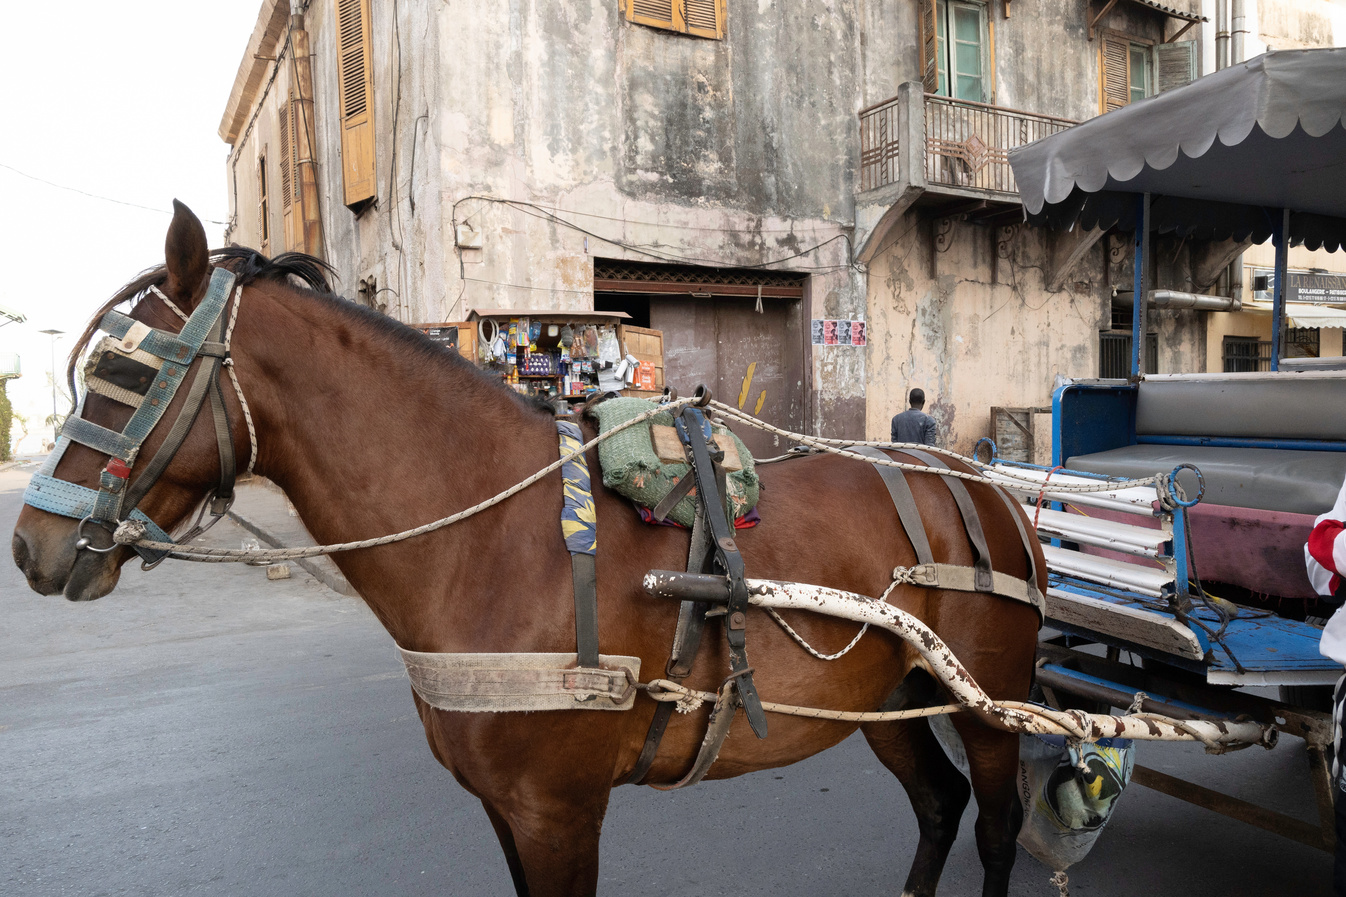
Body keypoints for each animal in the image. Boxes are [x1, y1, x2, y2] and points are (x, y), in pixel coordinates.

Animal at [7, 204, 1039, 894]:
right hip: (891, 697)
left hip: (989, 701)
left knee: (997, 822)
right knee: (939, 804)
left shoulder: (558, 811)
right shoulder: (504, 807)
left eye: (125, 370)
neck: (491, 542)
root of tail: (985, 486)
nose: (30, 545)